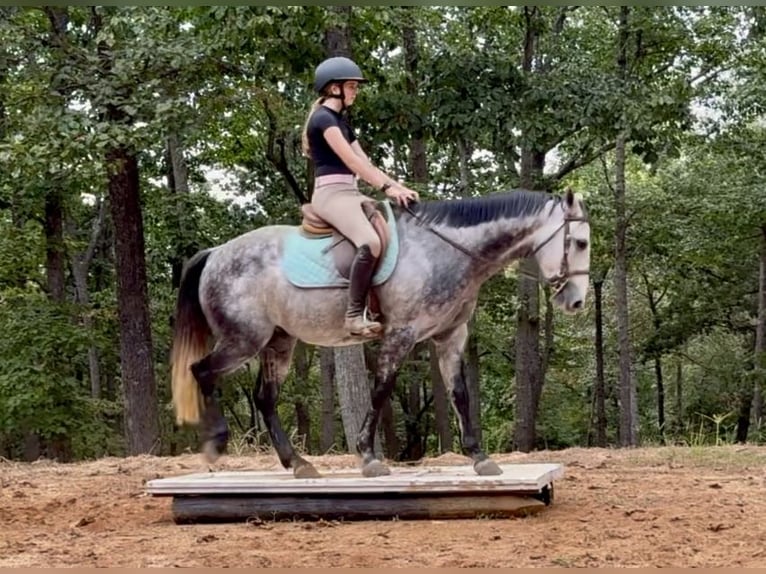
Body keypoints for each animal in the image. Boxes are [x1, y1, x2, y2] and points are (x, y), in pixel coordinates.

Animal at [170, 187, 591, 478]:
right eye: (581, 242)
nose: (576, 303)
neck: (446, 251)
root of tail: (216, 253)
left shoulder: (451, 337)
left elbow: (460, 394)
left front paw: (479, 457)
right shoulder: (400, 335)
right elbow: (381, 390)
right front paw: (369, 456)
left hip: (278, 342)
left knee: (264, 398)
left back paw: (298, 463)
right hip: (243, 340)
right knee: (202, 372)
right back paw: (216, 444)